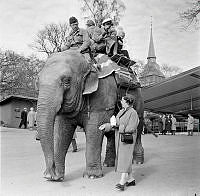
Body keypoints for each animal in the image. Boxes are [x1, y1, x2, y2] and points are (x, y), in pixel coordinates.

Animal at [36, 49, 144, 181]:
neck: (87, 61)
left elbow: (95, 129)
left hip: (138, 99)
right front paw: (58, 177)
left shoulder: (102, 94)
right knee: (111, 132)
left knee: (138, 126)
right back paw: (108, 164)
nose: (51, 174)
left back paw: (137, 161)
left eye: (67, 81)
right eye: (38, 82)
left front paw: (91, 176)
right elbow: (62, 131)